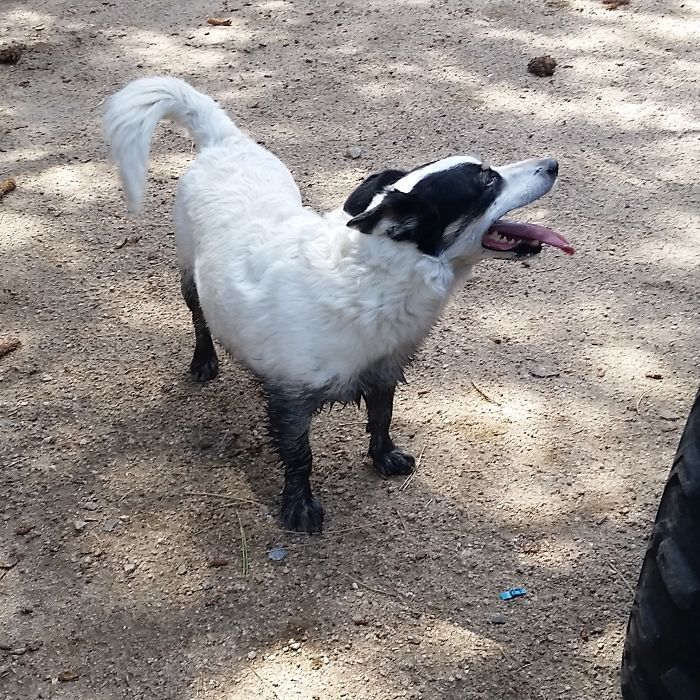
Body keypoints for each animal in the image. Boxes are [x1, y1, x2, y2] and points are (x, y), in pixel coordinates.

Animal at [104, 76, 576, 532]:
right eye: (486, 182)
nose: (554, 163)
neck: (373, 277)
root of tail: (224, 141)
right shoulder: (292, 401)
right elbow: (299, 457)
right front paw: (299, 508)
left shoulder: (385, 370)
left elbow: (382, 418)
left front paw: (384, 458)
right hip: (189, 274)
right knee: (200, 319)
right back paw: (204, 360)